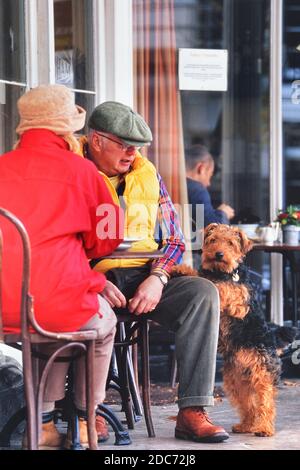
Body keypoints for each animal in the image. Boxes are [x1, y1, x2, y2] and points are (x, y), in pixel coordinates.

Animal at [172, 224, 296, 436]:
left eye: (231, 242)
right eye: (213, 240)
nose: (218, 254)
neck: (223, 272)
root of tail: (272, 338)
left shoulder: (239, 301)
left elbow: (220, 287)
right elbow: (204, 277)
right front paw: (179, 269)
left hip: (261, 373)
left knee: (266, 402)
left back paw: (264, 428)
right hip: (236, 381)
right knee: (248, 404)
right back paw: (245, 425)